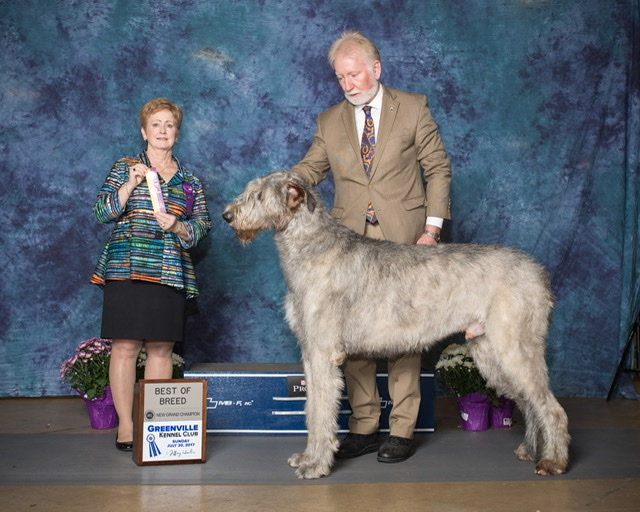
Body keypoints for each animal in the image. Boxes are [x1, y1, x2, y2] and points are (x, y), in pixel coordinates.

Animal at [224, 171, 568, 480]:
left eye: (258, 195)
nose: (227, 216)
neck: (312, 247)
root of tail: (539, 273)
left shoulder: (322, 353)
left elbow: (322, 410)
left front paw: (317, 466)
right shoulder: (310, 353)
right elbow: (311, 408)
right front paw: (308, 457)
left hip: (514, 348)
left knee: (551, 407)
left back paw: (553, 462)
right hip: (489, 352)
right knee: (529, 403)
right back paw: (529, 450)